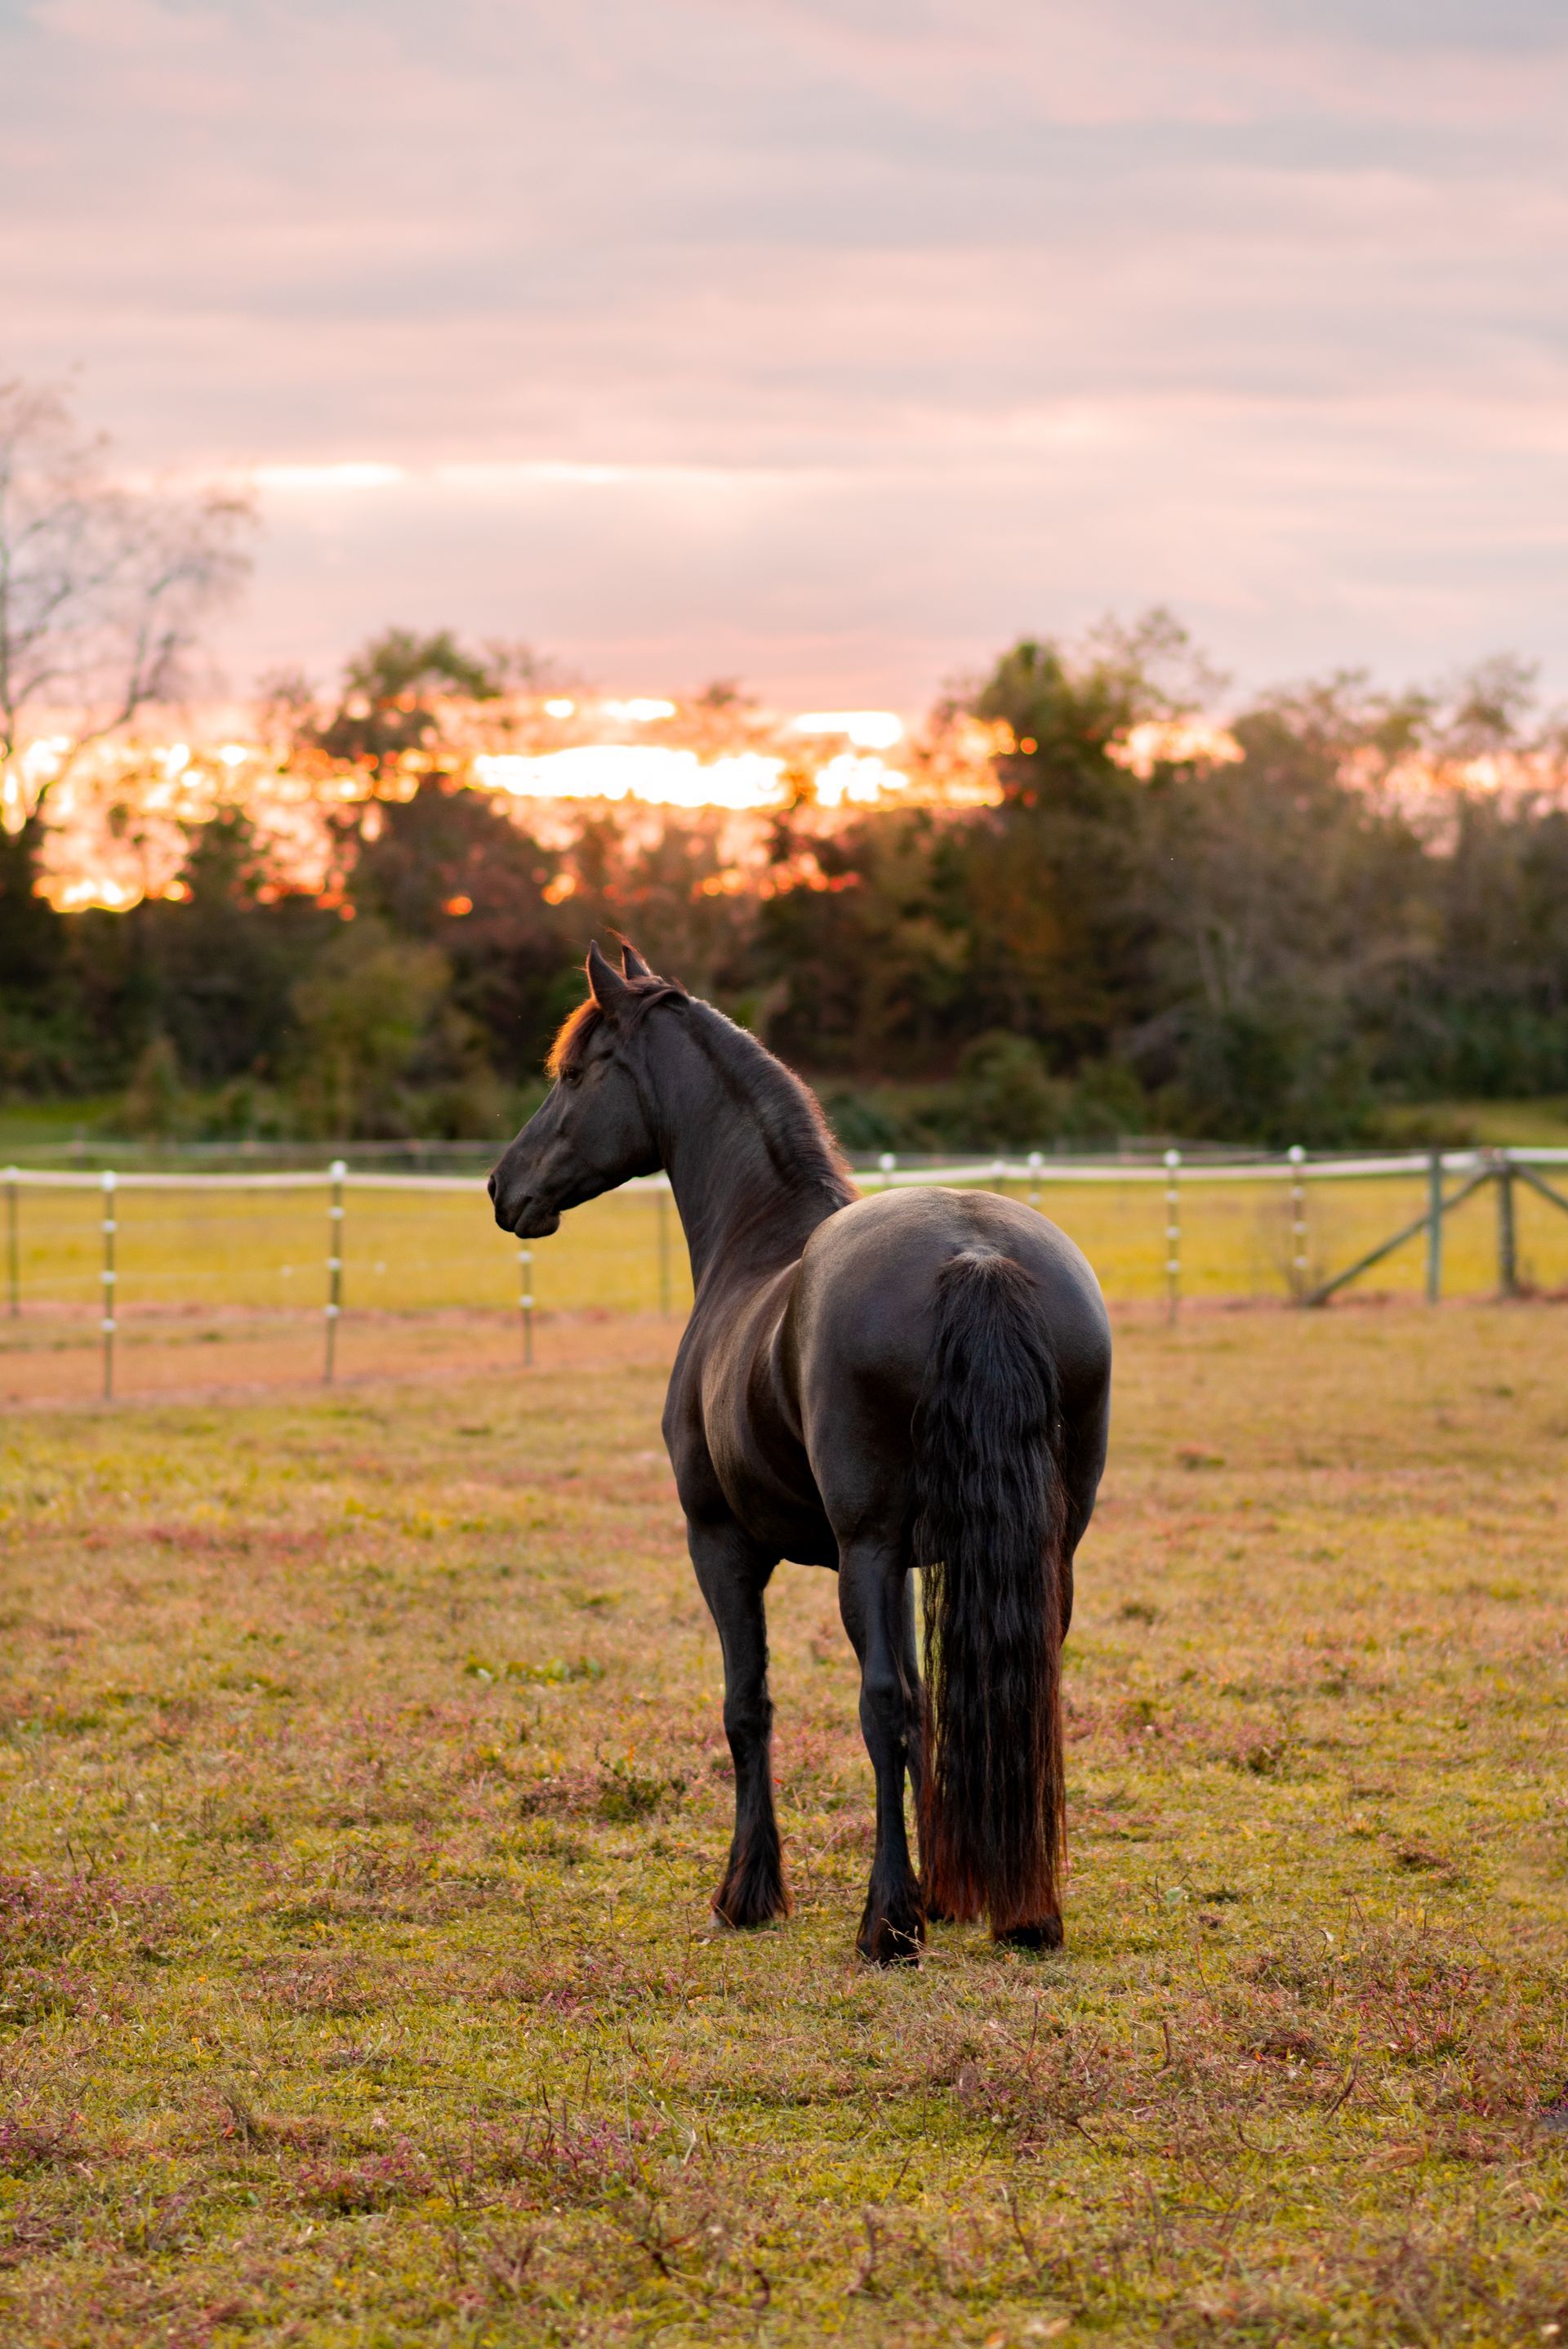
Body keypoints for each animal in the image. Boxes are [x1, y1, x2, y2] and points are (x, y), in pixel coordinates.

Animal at [489, 942, 1112, 1964]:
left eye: (574, 1074)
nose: (504, 1187)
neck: (758, 1244)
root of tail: (975, 1257)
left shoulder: (724, 1545)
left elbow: (752, 1705)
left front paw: (749, 1891)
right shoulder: (917, 1559)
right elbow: (933, 1704)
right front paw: (947, 1892)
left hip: (860, 1551)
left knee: (880, 1703)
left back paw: (886, 1922)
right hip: (1044, 1546)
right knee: (1016, 1695)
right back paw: (1024, 1912)